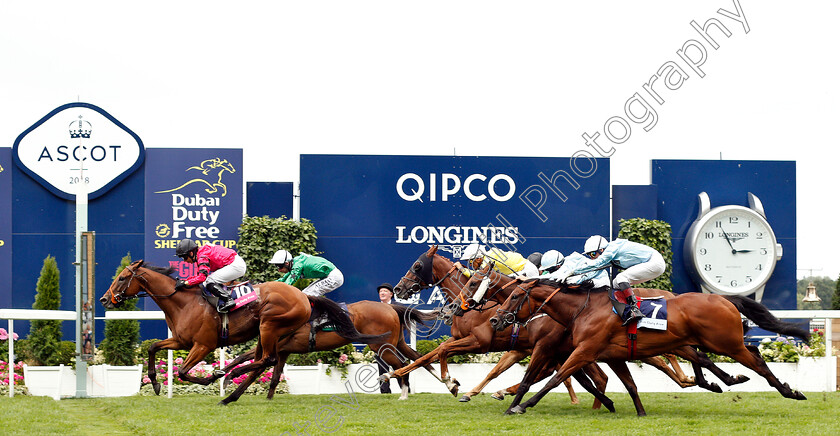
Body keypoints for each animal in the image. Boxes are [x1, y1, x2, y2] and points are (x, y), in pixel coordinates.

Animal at [488, 274, 812, 414]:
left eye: (514, 296)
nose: (494, 320)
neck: (583, 309)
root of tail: (724, 298)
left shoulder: (582, 351)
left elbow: (553, 379)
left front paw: (521, 406)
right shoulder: (609, 355)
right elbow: (629, 384)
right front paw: (639, 413)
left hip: (726, 343)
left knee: (756, 359)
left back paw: (790, 391)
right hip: (709, 341)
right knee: (742, 354)